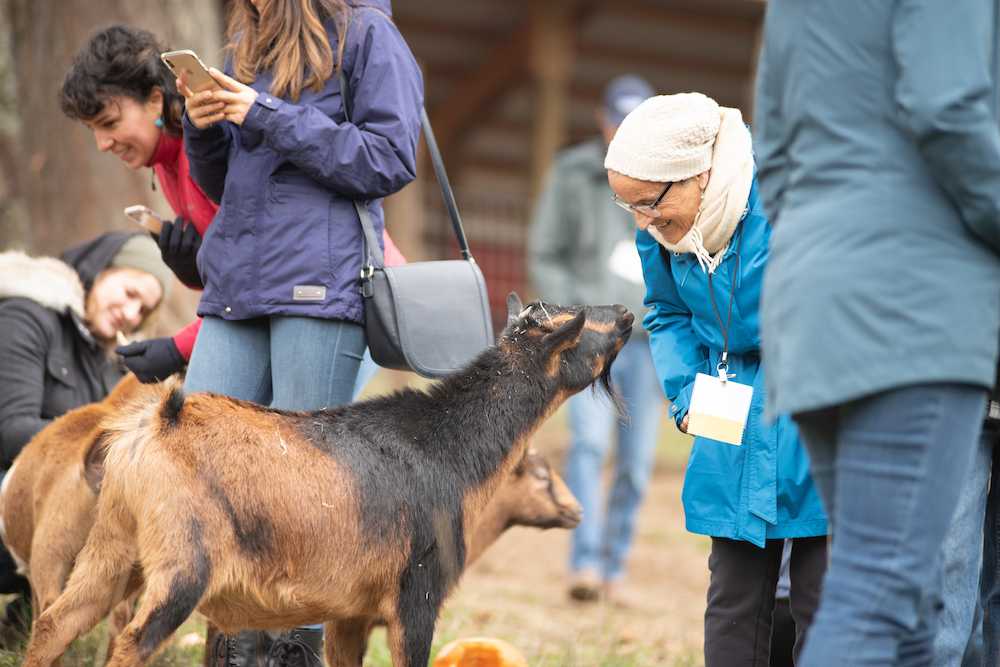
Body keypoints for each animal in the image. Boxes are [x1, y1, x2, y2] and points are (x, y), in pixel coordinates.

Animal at [21, 294, 632, 667]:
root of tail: (156, 424)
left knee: (53, 624)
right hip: (182, 564)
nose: (627, 312)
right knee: (130, 642)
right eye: (581, 326)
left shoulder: (350, 614)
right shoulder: (416, 595)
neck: (448, 447)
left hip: (112, 546)